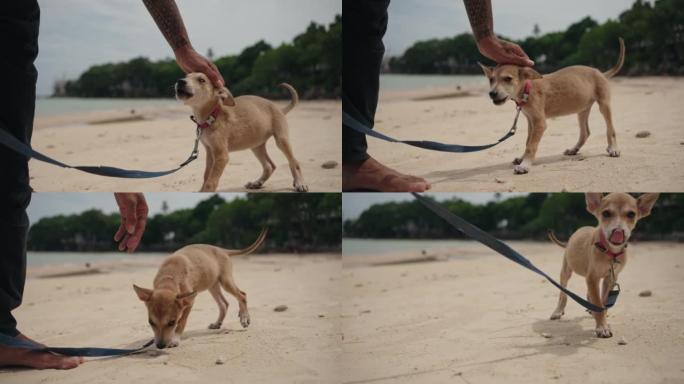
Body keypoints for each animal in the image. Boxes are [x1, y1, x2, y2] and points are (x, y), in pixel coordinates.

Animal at [132, 226, 266, 350]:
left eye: (172, 322)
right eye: (151, 322)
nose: (160, 346)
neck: (169, 278)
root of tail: (222, 249)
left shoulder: (189, 302)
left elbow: (182, 323)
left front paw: (175, 340)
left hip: (225, 281)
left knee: (242, 295)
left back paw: (244, 317)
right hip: (212, 285)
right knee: (224, 303)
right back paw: (217, 323)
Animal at [176, 72, 308, 192]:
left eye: (201, 80)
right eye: (186, 76)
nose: (180, 81)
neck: (212, 116)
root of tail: (279, 109)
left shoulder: (222, 155)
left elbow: (211, 182)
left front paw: (206, 192)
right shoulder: (210, 152)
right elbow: (206, 176)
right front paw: (201, 191)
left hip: (281, 140)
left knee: (294, 162)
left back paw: (300, 183)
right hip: (256, 146)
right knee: (269, 166)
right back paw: (257, 183)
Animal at [480, 38, 624, 174]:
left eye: (508, 79)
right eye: (491, 79)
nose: (492, 93)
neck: (527, 89)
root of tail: (600, 72)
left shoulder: (540, 123)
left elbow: (531, 146)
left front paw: (525, 165)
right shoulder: (531, 121)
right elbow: (528, 142)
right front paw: (522, 159)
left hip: (604, 105)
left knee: (610, 129)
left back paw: (613, 148)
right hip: (582, 109)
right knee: (585, 132)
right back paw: (574, 149)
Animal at [544, 194, 656, 338]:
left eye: (631, 214)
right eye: (606, 213)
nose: (618, 231)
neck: (610, 252)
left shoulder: (610, 278)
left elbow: (603, 302)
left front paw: (603, 318)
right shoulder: (592, 278)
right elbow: (598, 302)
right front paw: (601, 327)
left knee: (588, 294)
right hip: (566, 271)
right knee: (563, 293)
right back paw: (558, 311)